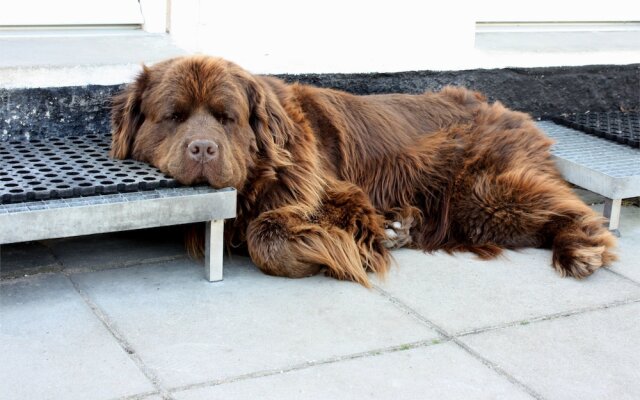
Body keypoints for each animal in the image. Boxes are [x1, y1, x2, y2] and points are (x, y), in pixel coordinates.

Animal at [110, 57, 616, 288]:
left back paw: (582, 247)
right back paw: (400, 227)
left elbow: (265, 237)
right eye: (174, 116)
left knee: (565, 205)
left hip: (483, 196)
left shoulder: (337, 193)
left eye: (226, 117)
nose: (203, 148)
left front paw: (329, 251)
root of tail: (511, 110)